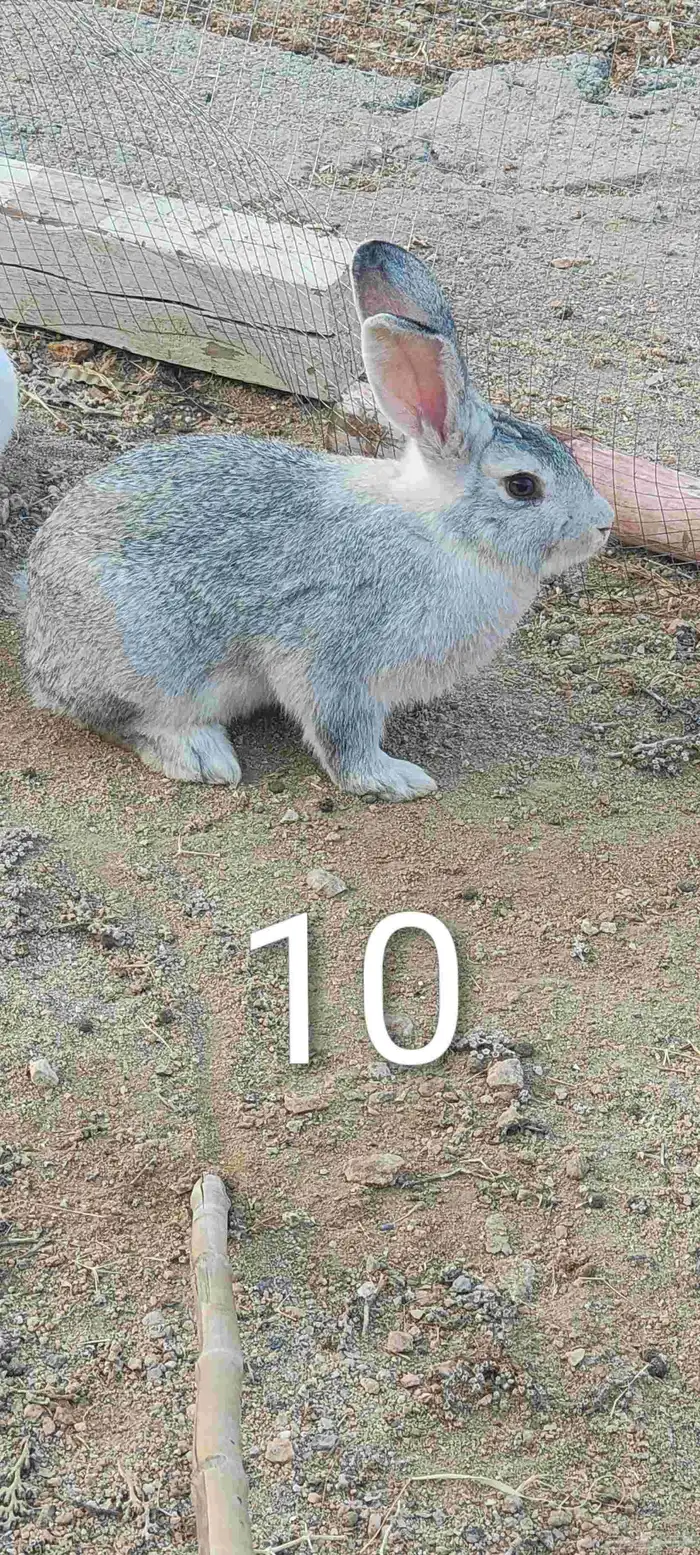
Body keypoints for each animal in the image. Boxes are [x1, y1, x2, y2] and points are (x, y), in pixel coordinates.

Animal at [19, 240, 613, 801]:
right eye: (522, 486)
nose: (603, 524)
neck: (445, 531)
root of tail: (38, 638)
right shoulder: (335, 659)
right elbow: (341, 734)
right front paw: (391, 780)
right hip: (154, 664)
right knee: (123, 720)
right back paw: (202, 756)